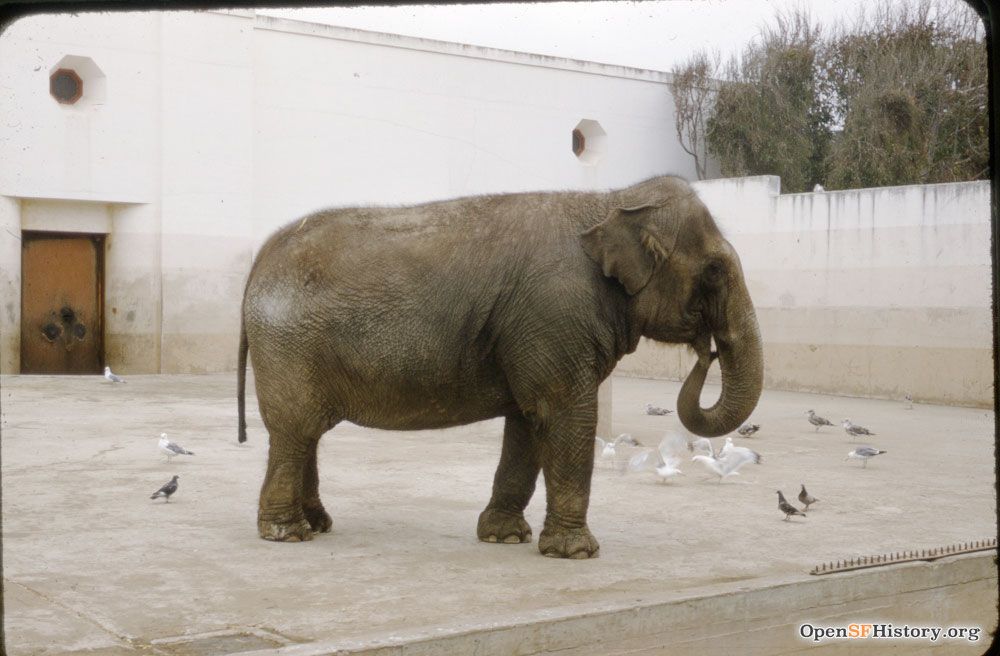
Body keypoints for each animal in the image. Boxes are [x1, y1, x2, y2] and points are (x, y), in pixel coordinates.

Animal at [237, 175, 763, 558]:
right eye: (715, 271)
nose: (706, 350)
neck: (612, 201)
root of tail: (259, 259)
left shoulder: (537, 333)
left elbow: (528, 422)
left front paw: (505, 538)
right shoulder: (555, 316)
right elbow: (567, 415)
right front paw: (575, 553)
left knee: (306, 432)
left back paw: (317, 525)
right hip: (288, 344)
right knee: (295, 429)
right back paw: (288, 534)